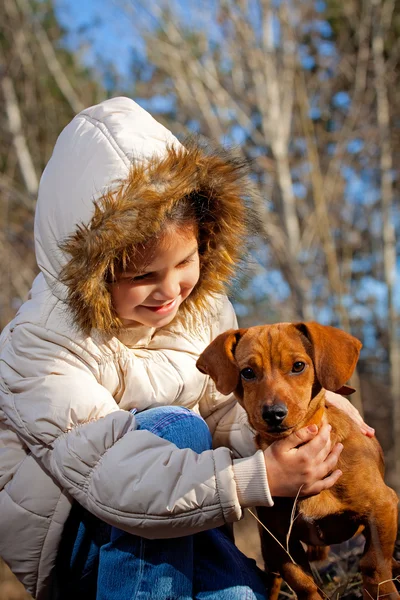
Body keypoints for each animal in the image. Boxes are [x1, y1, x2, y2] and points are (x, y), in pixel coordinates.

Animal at [198, 324, 400, 600]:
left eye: (298, 366)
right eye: (247, 372)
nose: (274, 414)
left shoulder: (383, 506)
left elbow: (374, 564)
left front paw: (383, 591)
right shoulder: (280, 539)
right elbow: (303, 582)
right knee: (272, 579)